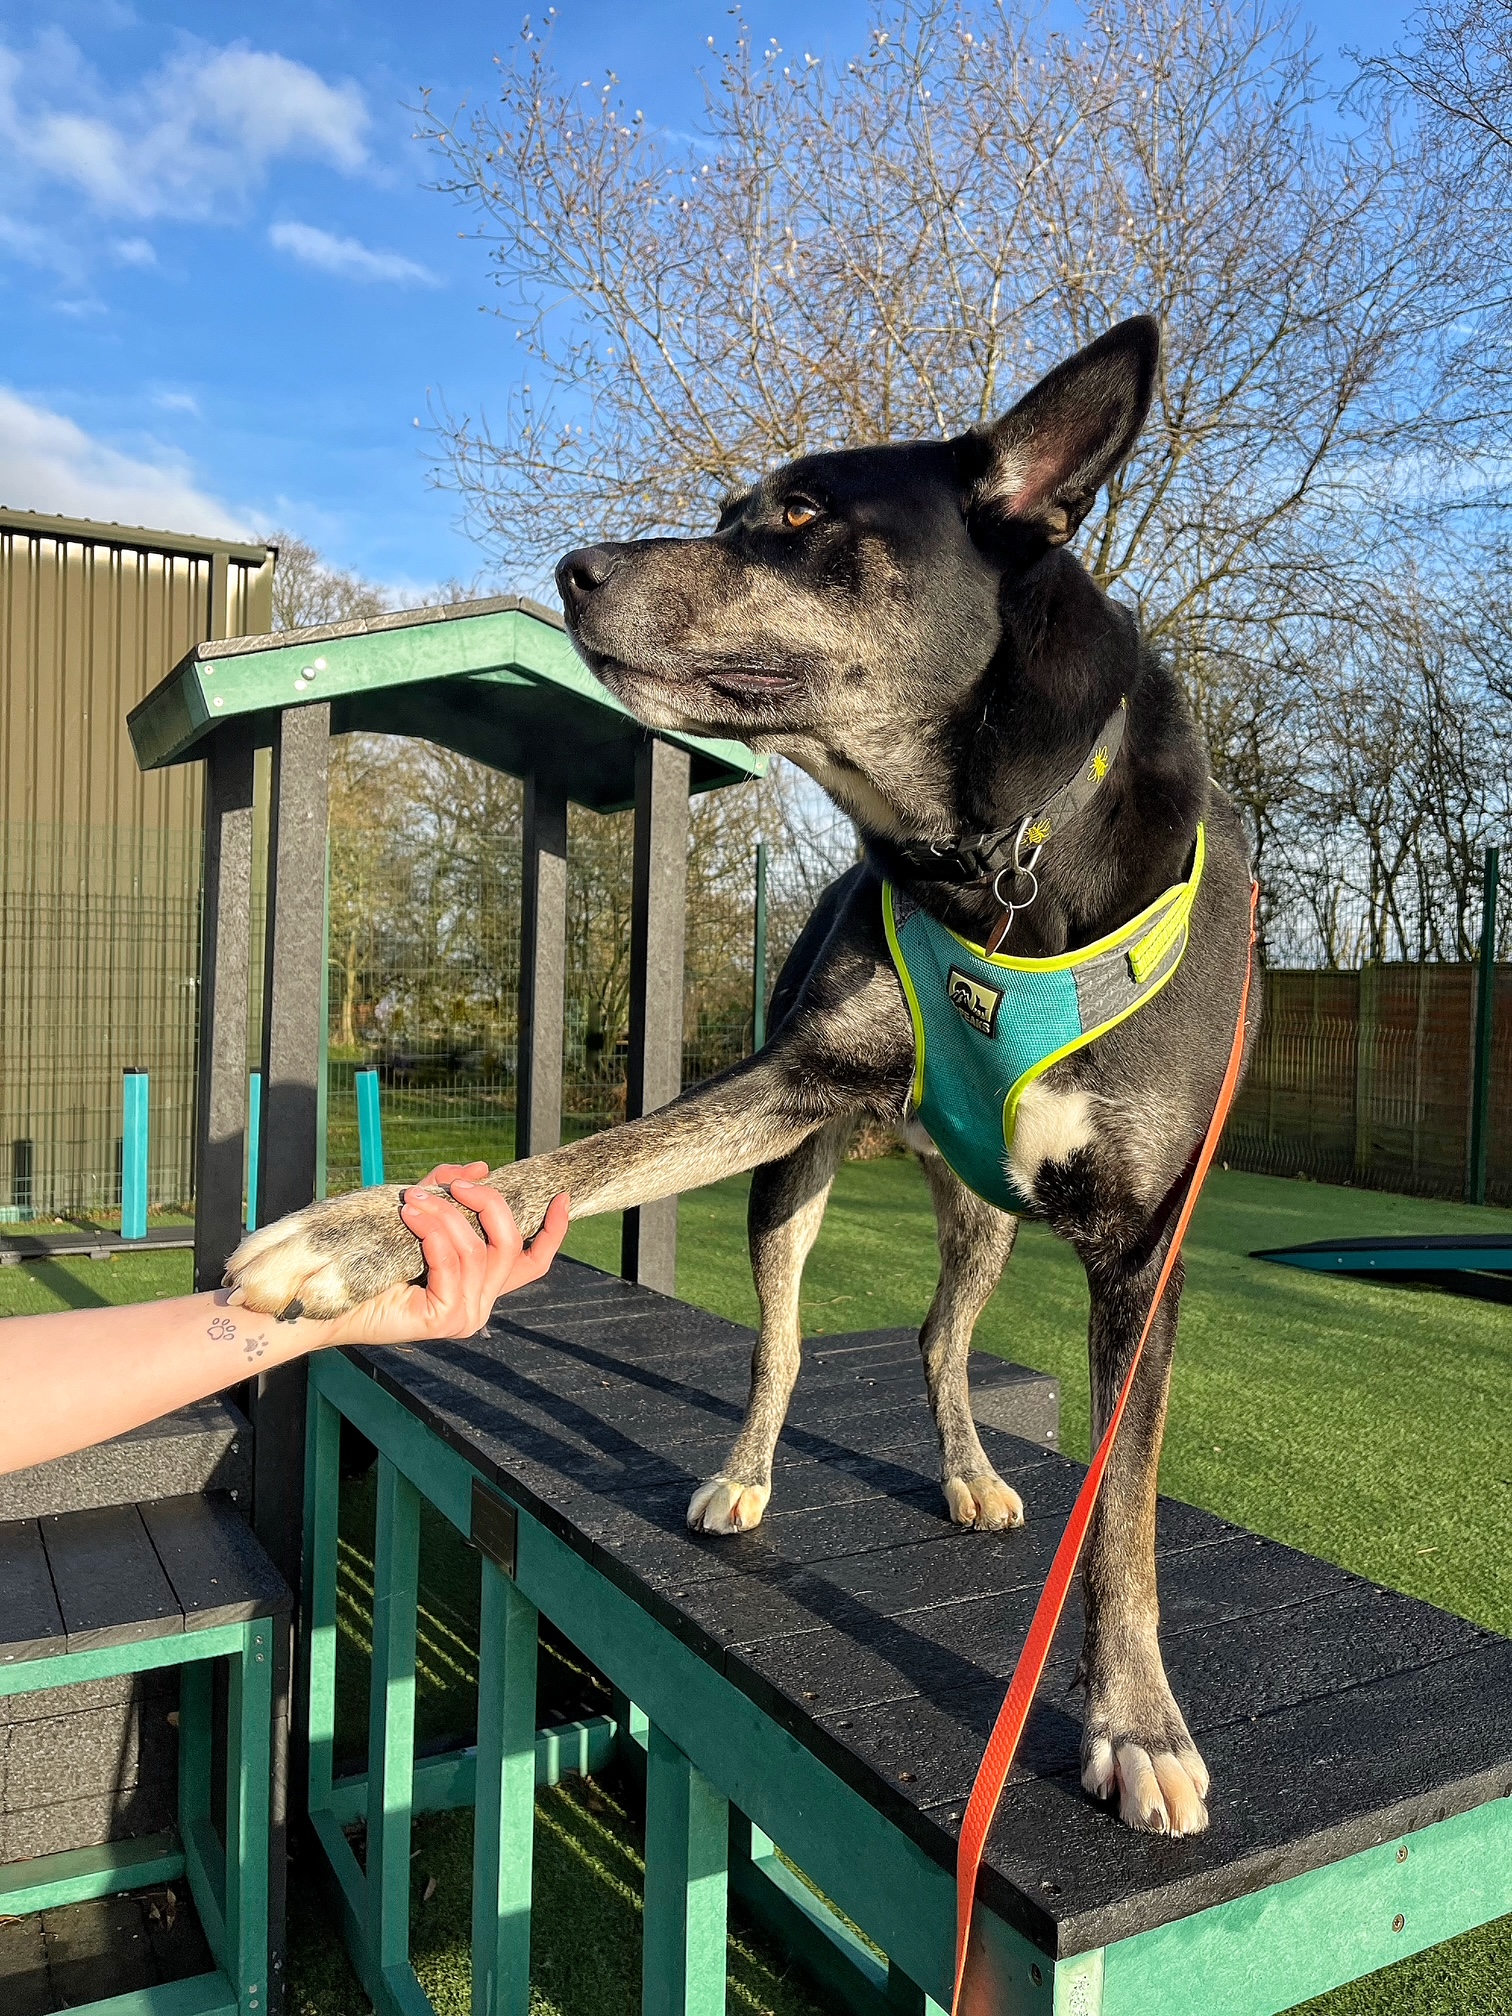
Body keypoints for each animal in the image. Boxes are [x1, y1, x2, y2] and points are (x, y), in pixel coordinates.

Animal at [228, 317, 1258, 1837]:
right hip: (798, 1183)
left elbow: (1122, 1513)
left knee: (941, 1339)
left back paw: (969, 1471)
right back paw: (747, 1474)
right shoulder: (784, 1085)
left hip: (984, 1217)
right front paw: (363, 1234)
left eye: (801, 515)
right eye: (728, 512)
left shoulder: (1144, 1244)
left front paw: (1135, 1722)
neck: (995, 861)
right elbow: (569, 1165)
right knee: (785, 1345)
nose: (574, 570)